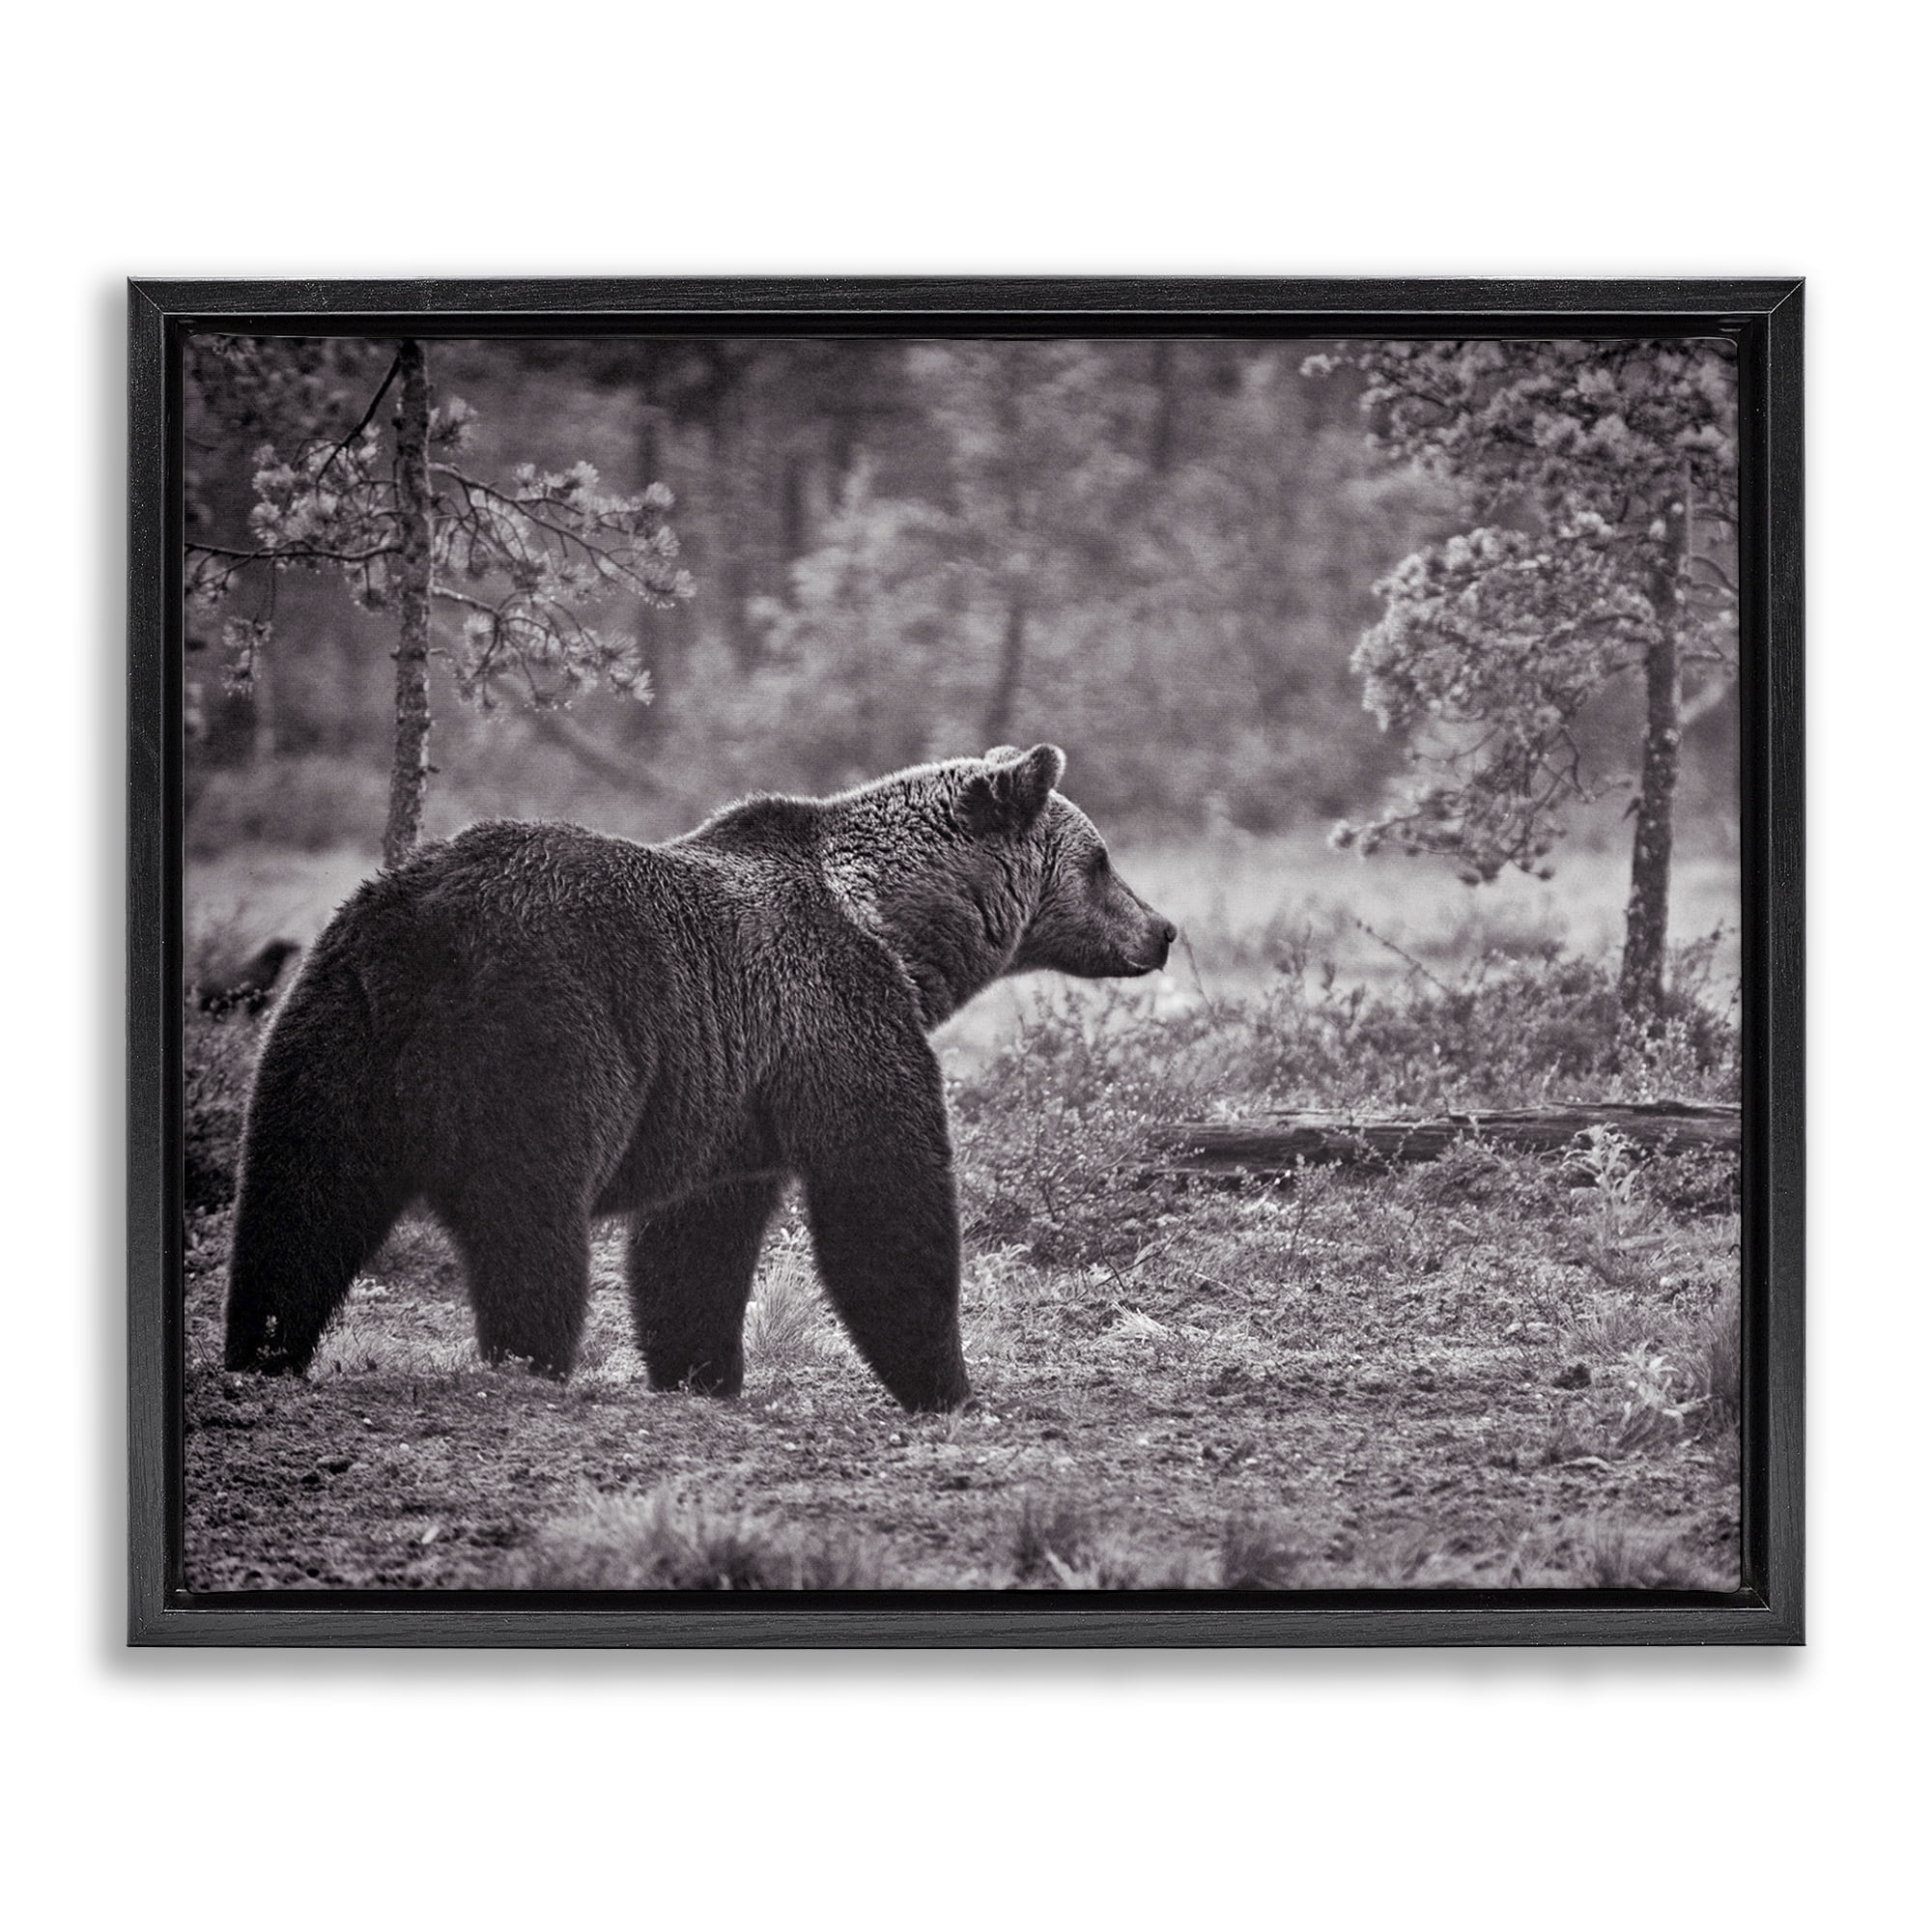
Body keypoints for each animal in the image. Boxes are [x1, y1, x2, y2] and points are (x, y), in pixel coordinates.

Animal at [222, 743, 1175, 1411]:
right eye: (1101, 860)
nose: (1162, 929)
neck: (896, 930)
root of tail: (417, 929)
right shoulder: (835, 1017)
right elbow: (884, 1195)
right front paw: (945, 1383)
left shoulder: (731, 1088)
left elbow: (696, 1239)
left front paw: (700, 1370)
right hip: (542, 1032)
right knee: (529, 1216)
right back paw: (530, 1359)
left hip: (330, 1032)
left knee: (298, 1204)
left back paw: (263, 1350)